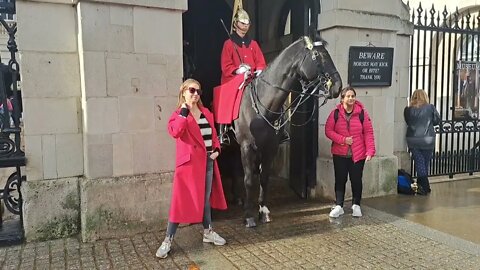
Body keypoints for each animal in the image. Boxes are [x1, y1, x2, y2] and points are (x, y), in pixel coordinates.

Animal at [231, 34, 344, 227]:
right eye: (317, 55)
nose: (337, 86)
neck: (264, 106)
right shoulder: (246, 146)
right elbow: (248, 180)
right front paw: (248, 216)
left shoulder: (270, 147)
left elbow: (264, 178)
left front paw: (263, 211)